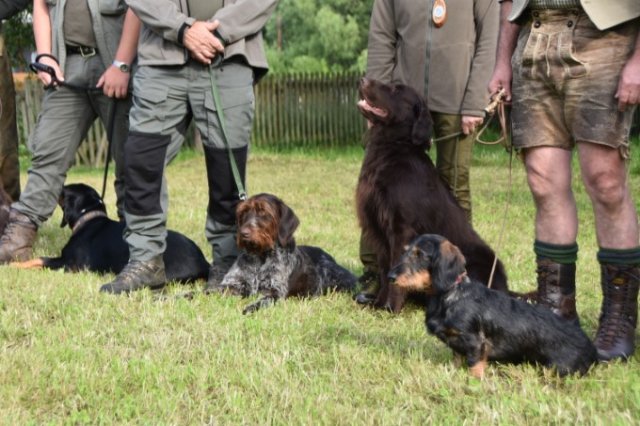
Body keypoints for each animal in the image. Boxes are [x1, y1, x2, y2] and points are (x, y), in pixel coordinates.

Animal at [13, 182, 208, 282]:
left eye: (63, 190)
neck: (89, 218)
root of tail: (202, 261)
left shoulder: (72, 264)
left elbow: (41, 259)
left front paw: (14, 265)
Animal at [212, 193, 358, 312]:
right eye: (244, 212)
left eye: (263, 212)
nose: (243, 233)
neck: (261, 257)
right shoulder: (232, 284)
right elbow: (214, 291)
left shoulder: (275, 292)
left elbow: (262, 301)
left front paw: (250, 308)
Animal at [356, 79, 510, 312]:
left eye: (396, 89)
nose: (363, 80)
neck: (394, 148)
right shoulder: (378, 229)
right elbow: (384, 270)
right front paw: (378, 303)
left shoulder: (402, 229)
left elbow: (396, 268)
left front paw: (391, 307)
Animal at [388, 235, 596, 378]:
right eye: (405, 252)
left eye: (420, 255)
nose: (390, 277)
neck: (450, 296)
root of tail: (592, 350)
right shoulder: (456, 344)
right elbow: (456, 359)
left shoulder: (475, 342)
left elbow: (474, 366)